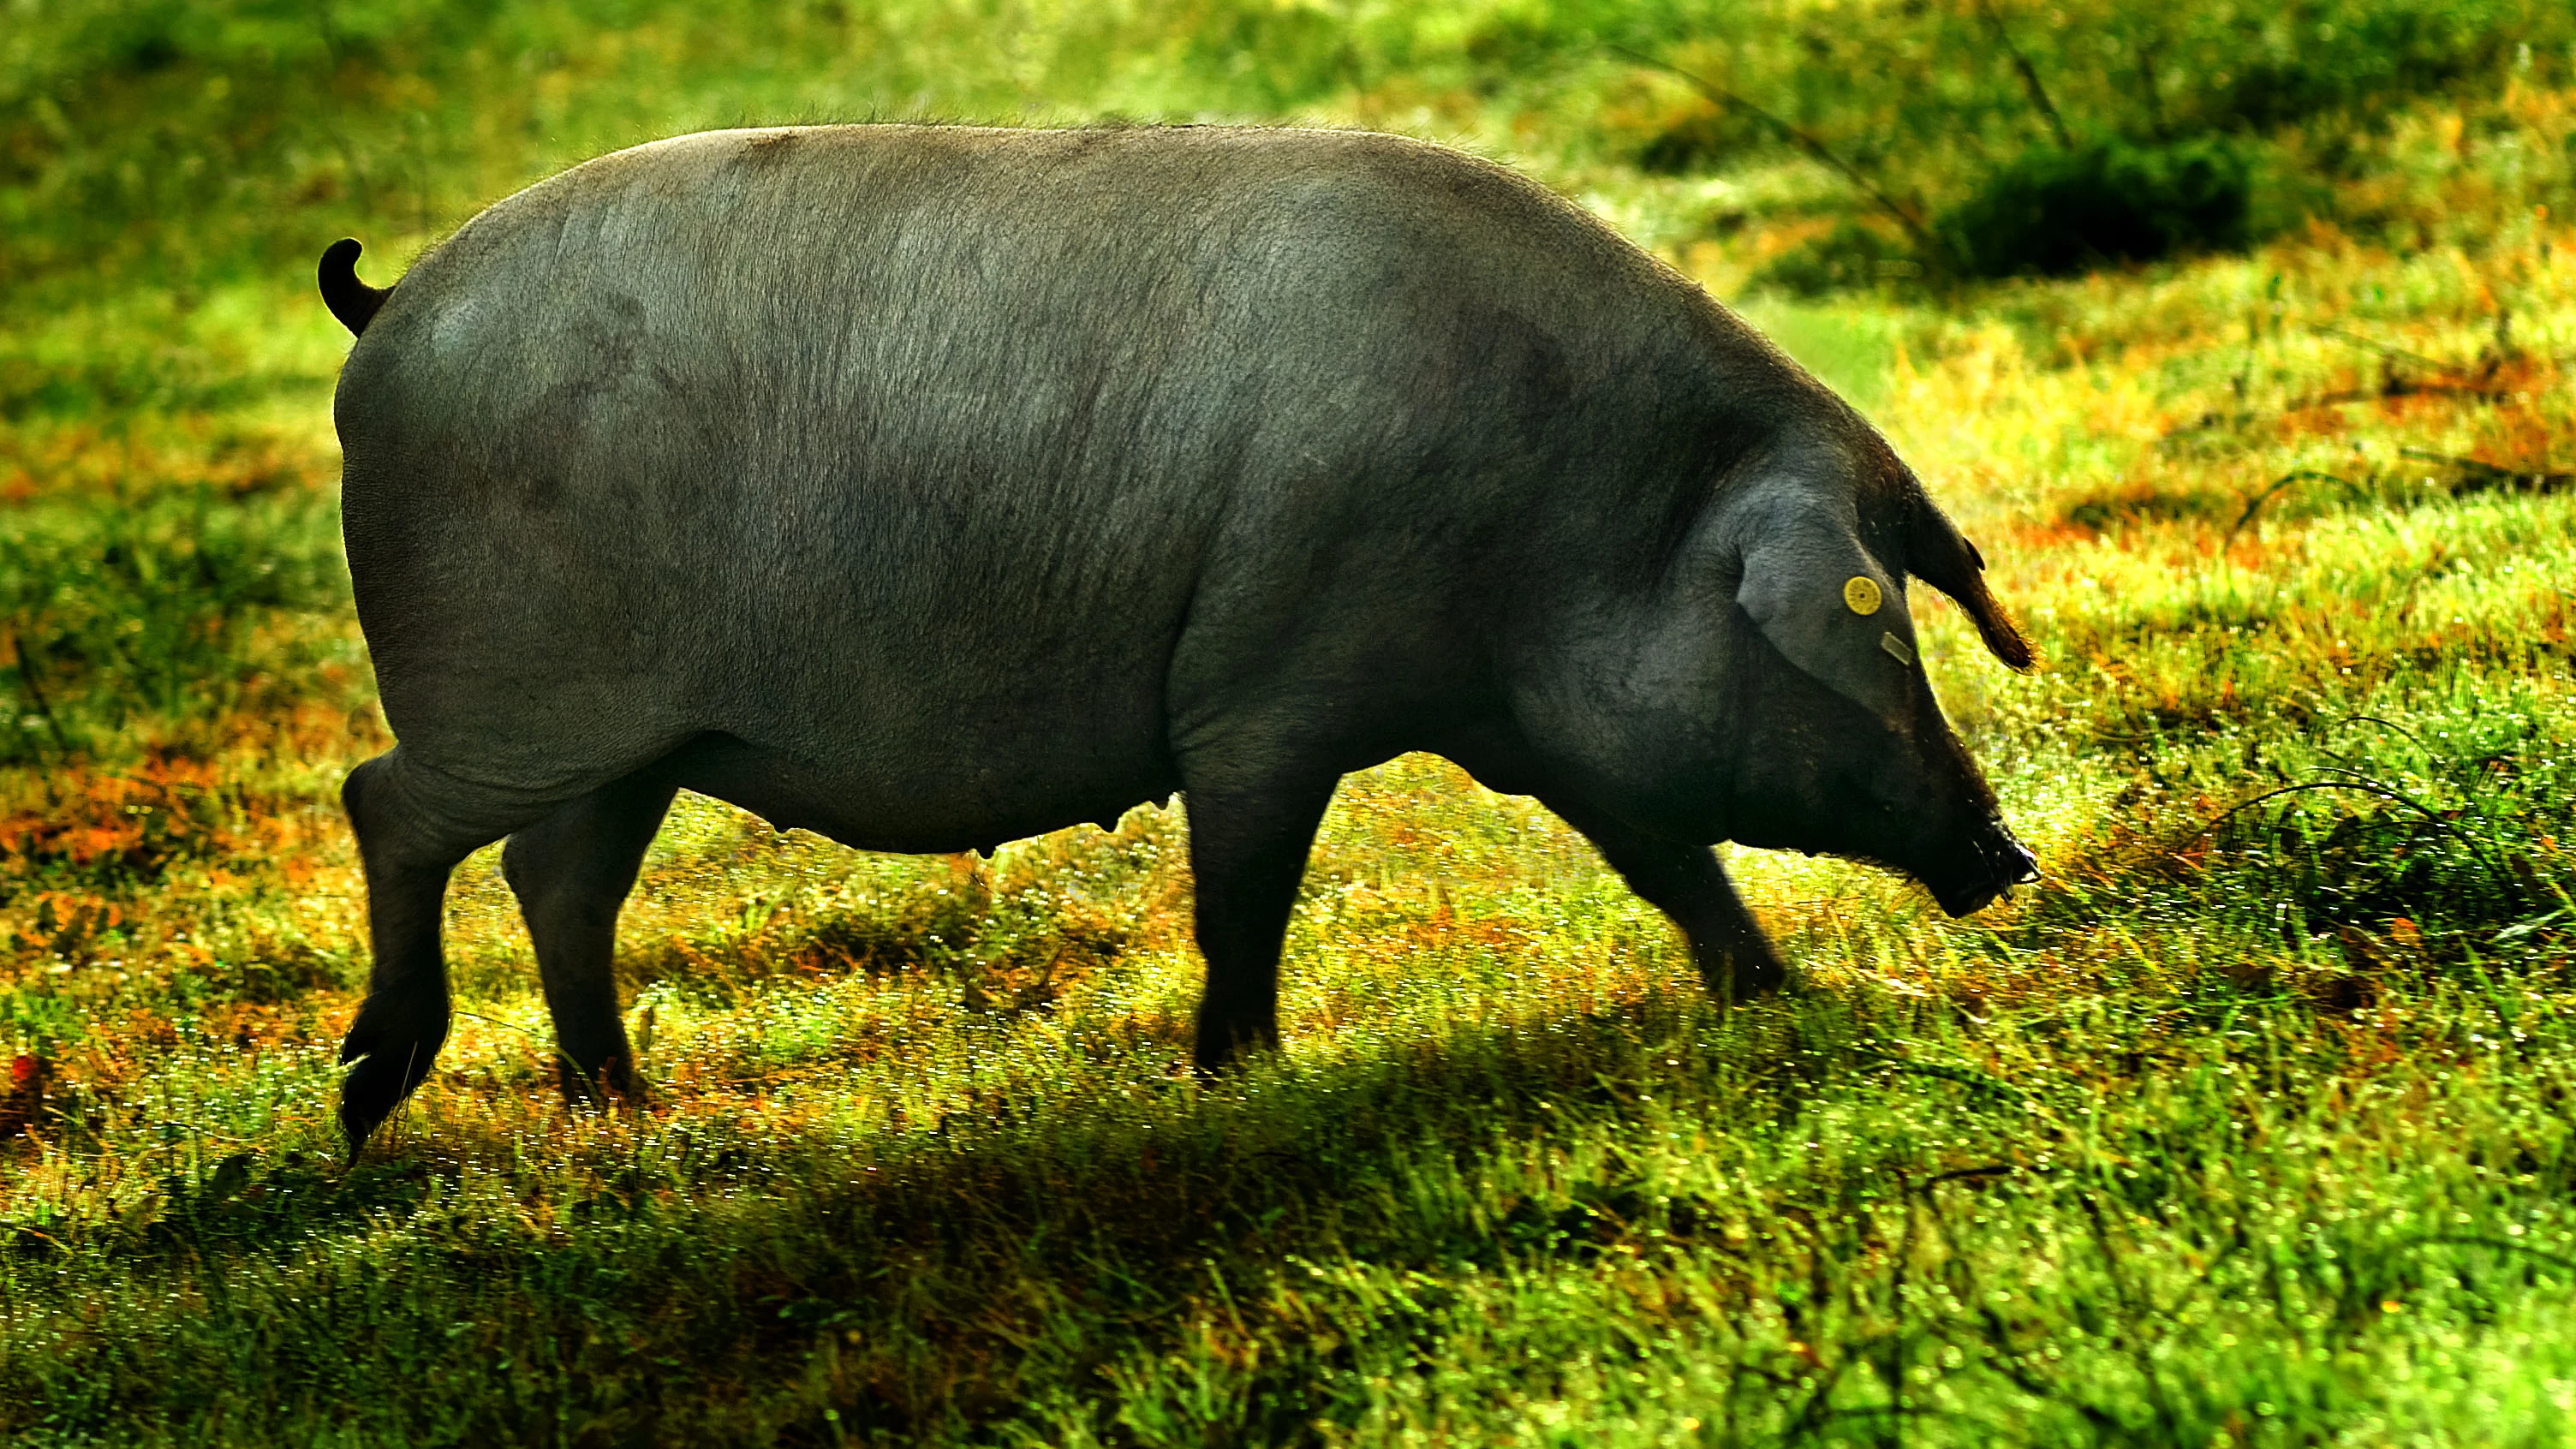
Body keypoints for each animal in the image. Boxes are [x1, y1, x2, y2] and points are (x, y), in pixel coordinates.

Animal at [317, 123, 2037, 1151]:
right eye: (1885, 638)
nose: (2008, 854)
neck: (1571, 513)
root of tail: (387, 311)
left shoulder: (1540, 727)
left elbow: (1666, 859)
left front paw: (1785, 997)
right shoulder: (1263, 688)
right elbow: (1246, 888)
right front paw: (1240, 1078)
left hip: (629, 739)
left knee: (558, 880)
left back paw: (623, 1112)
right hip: (513, 694)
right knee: (386, 802)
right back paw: (365, 1097)